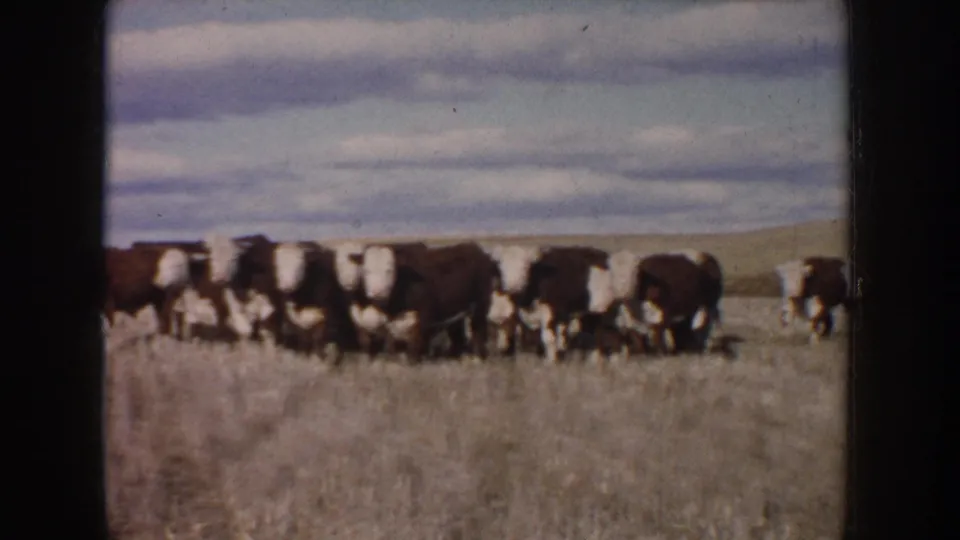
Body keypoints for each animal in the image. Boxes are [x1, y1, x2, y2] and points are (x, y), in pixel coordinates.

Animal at [347, 242, 495, 364]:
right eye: (366, 271)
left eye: (389, 270)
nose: (377, 291)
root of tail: (476, 249)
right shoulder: (389, 321)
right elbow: (391, 342)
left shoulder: (423, 316)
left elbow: (416, 341)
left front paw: (413, 361)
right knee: (457, 334)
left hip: (480, 307)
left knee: (479, 330)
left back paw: (479, 357)